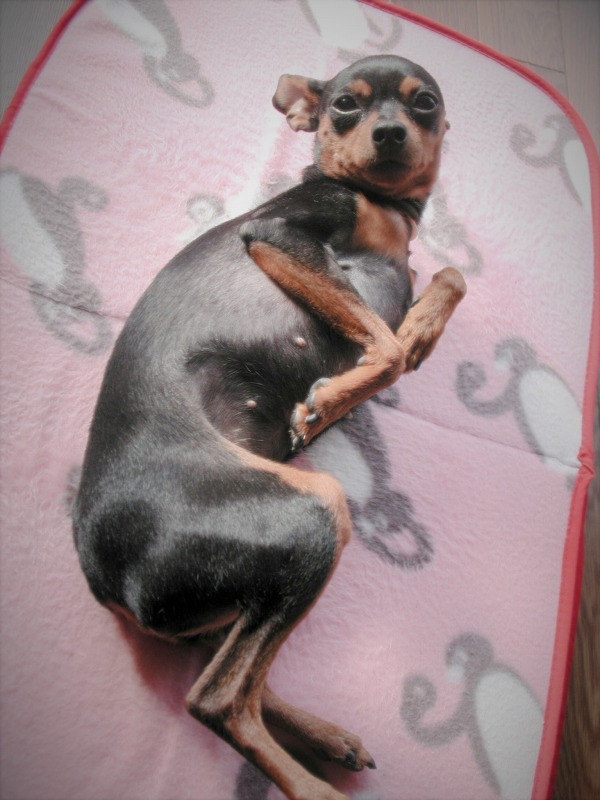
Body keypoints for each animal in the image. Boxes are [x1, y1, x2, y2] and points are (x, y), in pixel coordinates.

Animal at [72, 55, 466, 800]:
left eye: (424, 103)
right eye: (345, 106)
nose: (391, 133)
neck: (383, 208)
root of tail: (106, 586)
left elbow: (448, 278)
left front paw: (417, 336)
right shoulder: (280, 235)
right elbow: (386, 347)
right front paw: (332, 399)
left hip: (232, 588)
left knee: (226, 665)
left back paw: (326, 737)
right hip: (313, 514)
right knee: (218, 698)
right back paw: (312, 785)